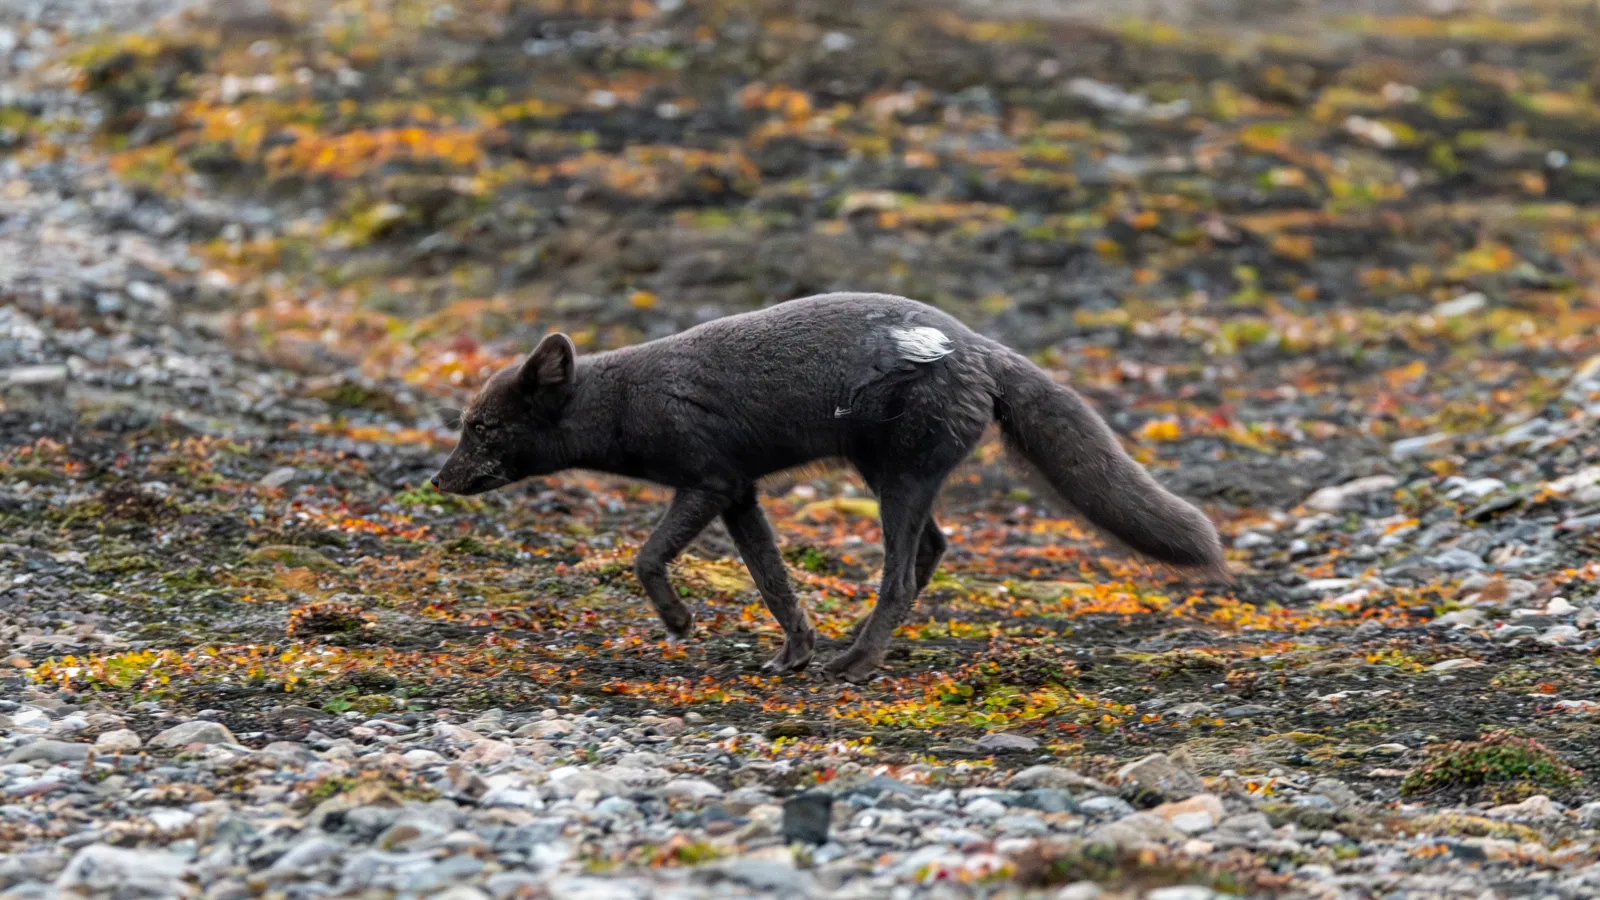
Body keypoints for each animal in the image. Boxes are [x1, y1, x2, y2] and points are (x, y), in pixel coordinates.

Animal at [430, 292, 1225, 682]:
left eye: (481, 428)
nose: (438, 481)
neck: (628, 400)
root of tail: (980, 345)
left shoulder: (707, 480)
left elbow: (647, 557)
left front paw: (681, 621)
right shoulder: (740, 492)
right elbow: (773, 580)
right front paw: (794, 651)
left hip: (897, 478)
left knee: (901, 575)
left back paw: (857, 664)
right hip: (893, 478)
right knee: (933, 551)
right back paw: (856, 650)